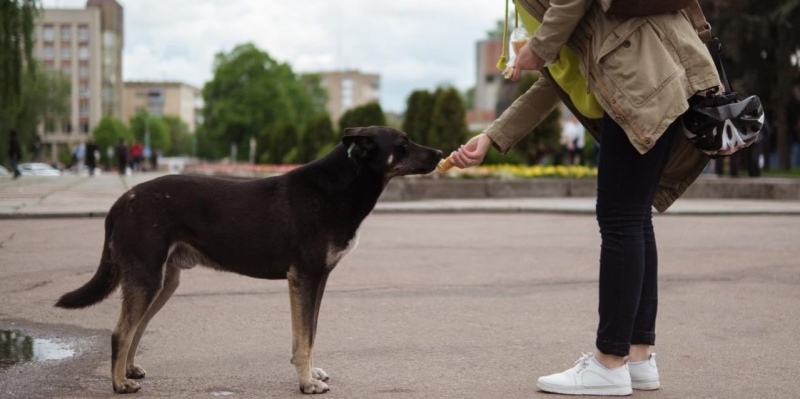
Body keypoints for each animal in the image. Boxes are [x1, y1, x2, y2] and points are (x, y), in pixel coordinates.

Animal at [56, 126, 444, 396]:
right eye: (403, 143)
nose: (441, 152)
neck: (339, 186)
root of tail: (122, 201)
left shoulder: (317, 280)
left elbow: (310, 334)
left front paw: (311, 373)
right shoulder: (305, 278)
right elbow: (305, 338)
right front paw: (307, 383)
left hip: (164, 281)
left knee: (136, 328)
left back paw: (129, 371)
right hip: (147, 277)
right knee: (121, 331)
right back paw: (120, 383)